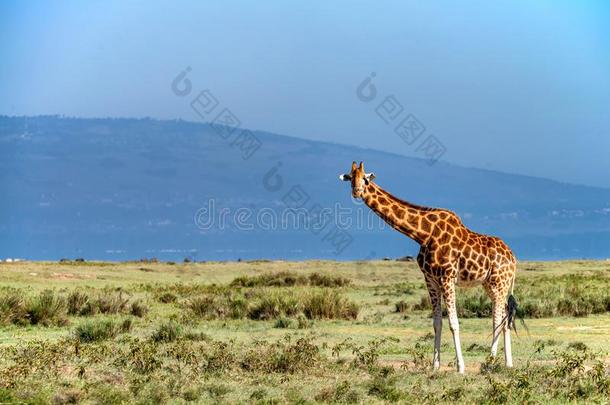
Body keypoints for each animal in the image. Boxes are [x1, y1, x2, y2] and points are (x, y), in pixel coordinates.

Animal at [340, 161, 516, 372]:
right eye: (351, 178)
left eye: (365, 179)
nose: (356, 191)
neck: (423, 234)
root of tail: (513, 258)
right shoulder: (430, 279)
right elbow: (437, 323)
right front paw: (435, 366)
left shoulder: (447, 277)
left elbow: (454, 323)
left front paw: (460, 367)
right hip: (490, 284)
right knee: (505, 317)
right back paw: (508, 363)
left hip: (499, 283)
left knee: (498, 319)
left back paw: (489, 362)